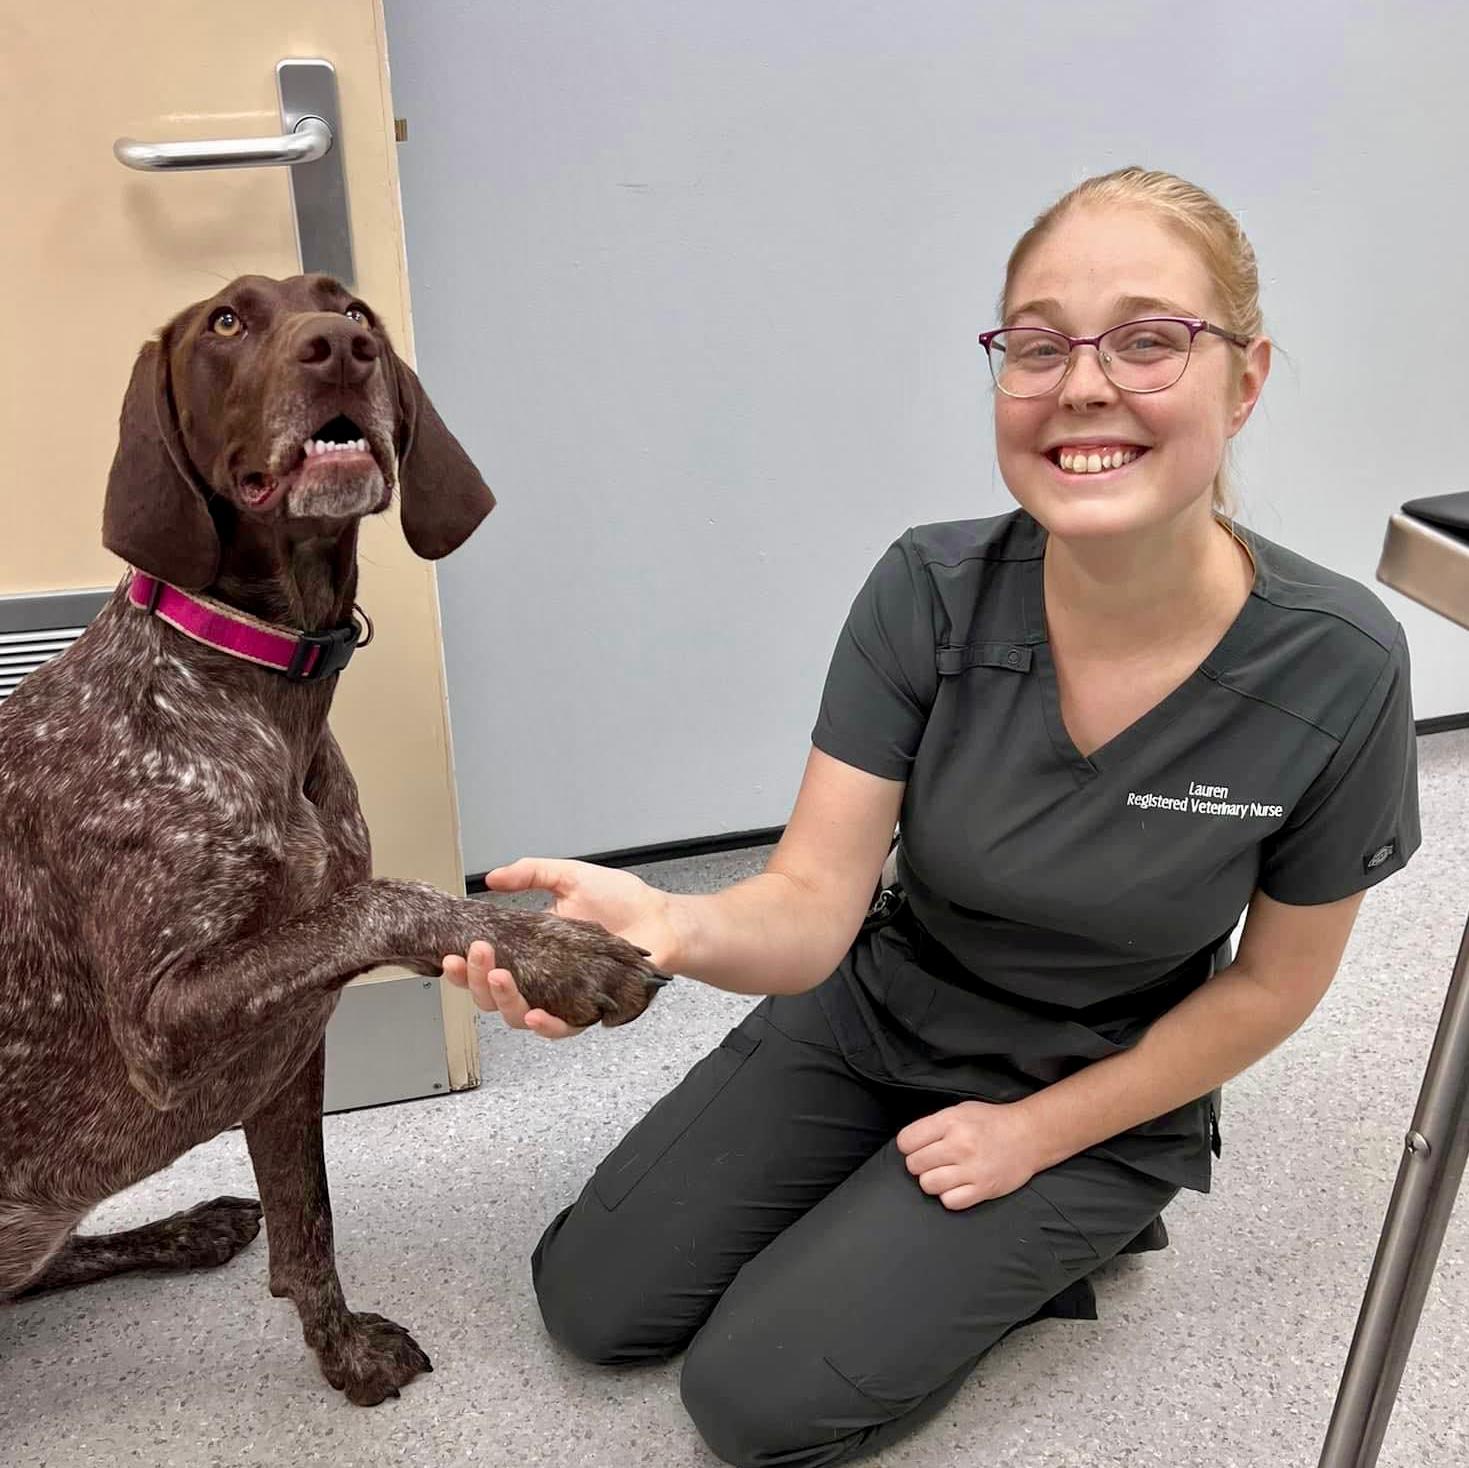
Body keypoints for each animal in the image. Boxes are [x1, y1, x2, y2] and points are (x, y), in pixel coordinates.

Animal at [0, 270, 661, 1404]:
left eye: (350, 308)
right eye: (225, 322)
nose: (339, 349)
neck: (261, 690)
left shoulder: (283, 1047)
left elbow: (307, 1223)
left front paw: (341, 1355)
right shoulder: (161, 1023)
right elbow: (379, 901)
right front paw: (552, 950)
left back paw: (185, 1227)